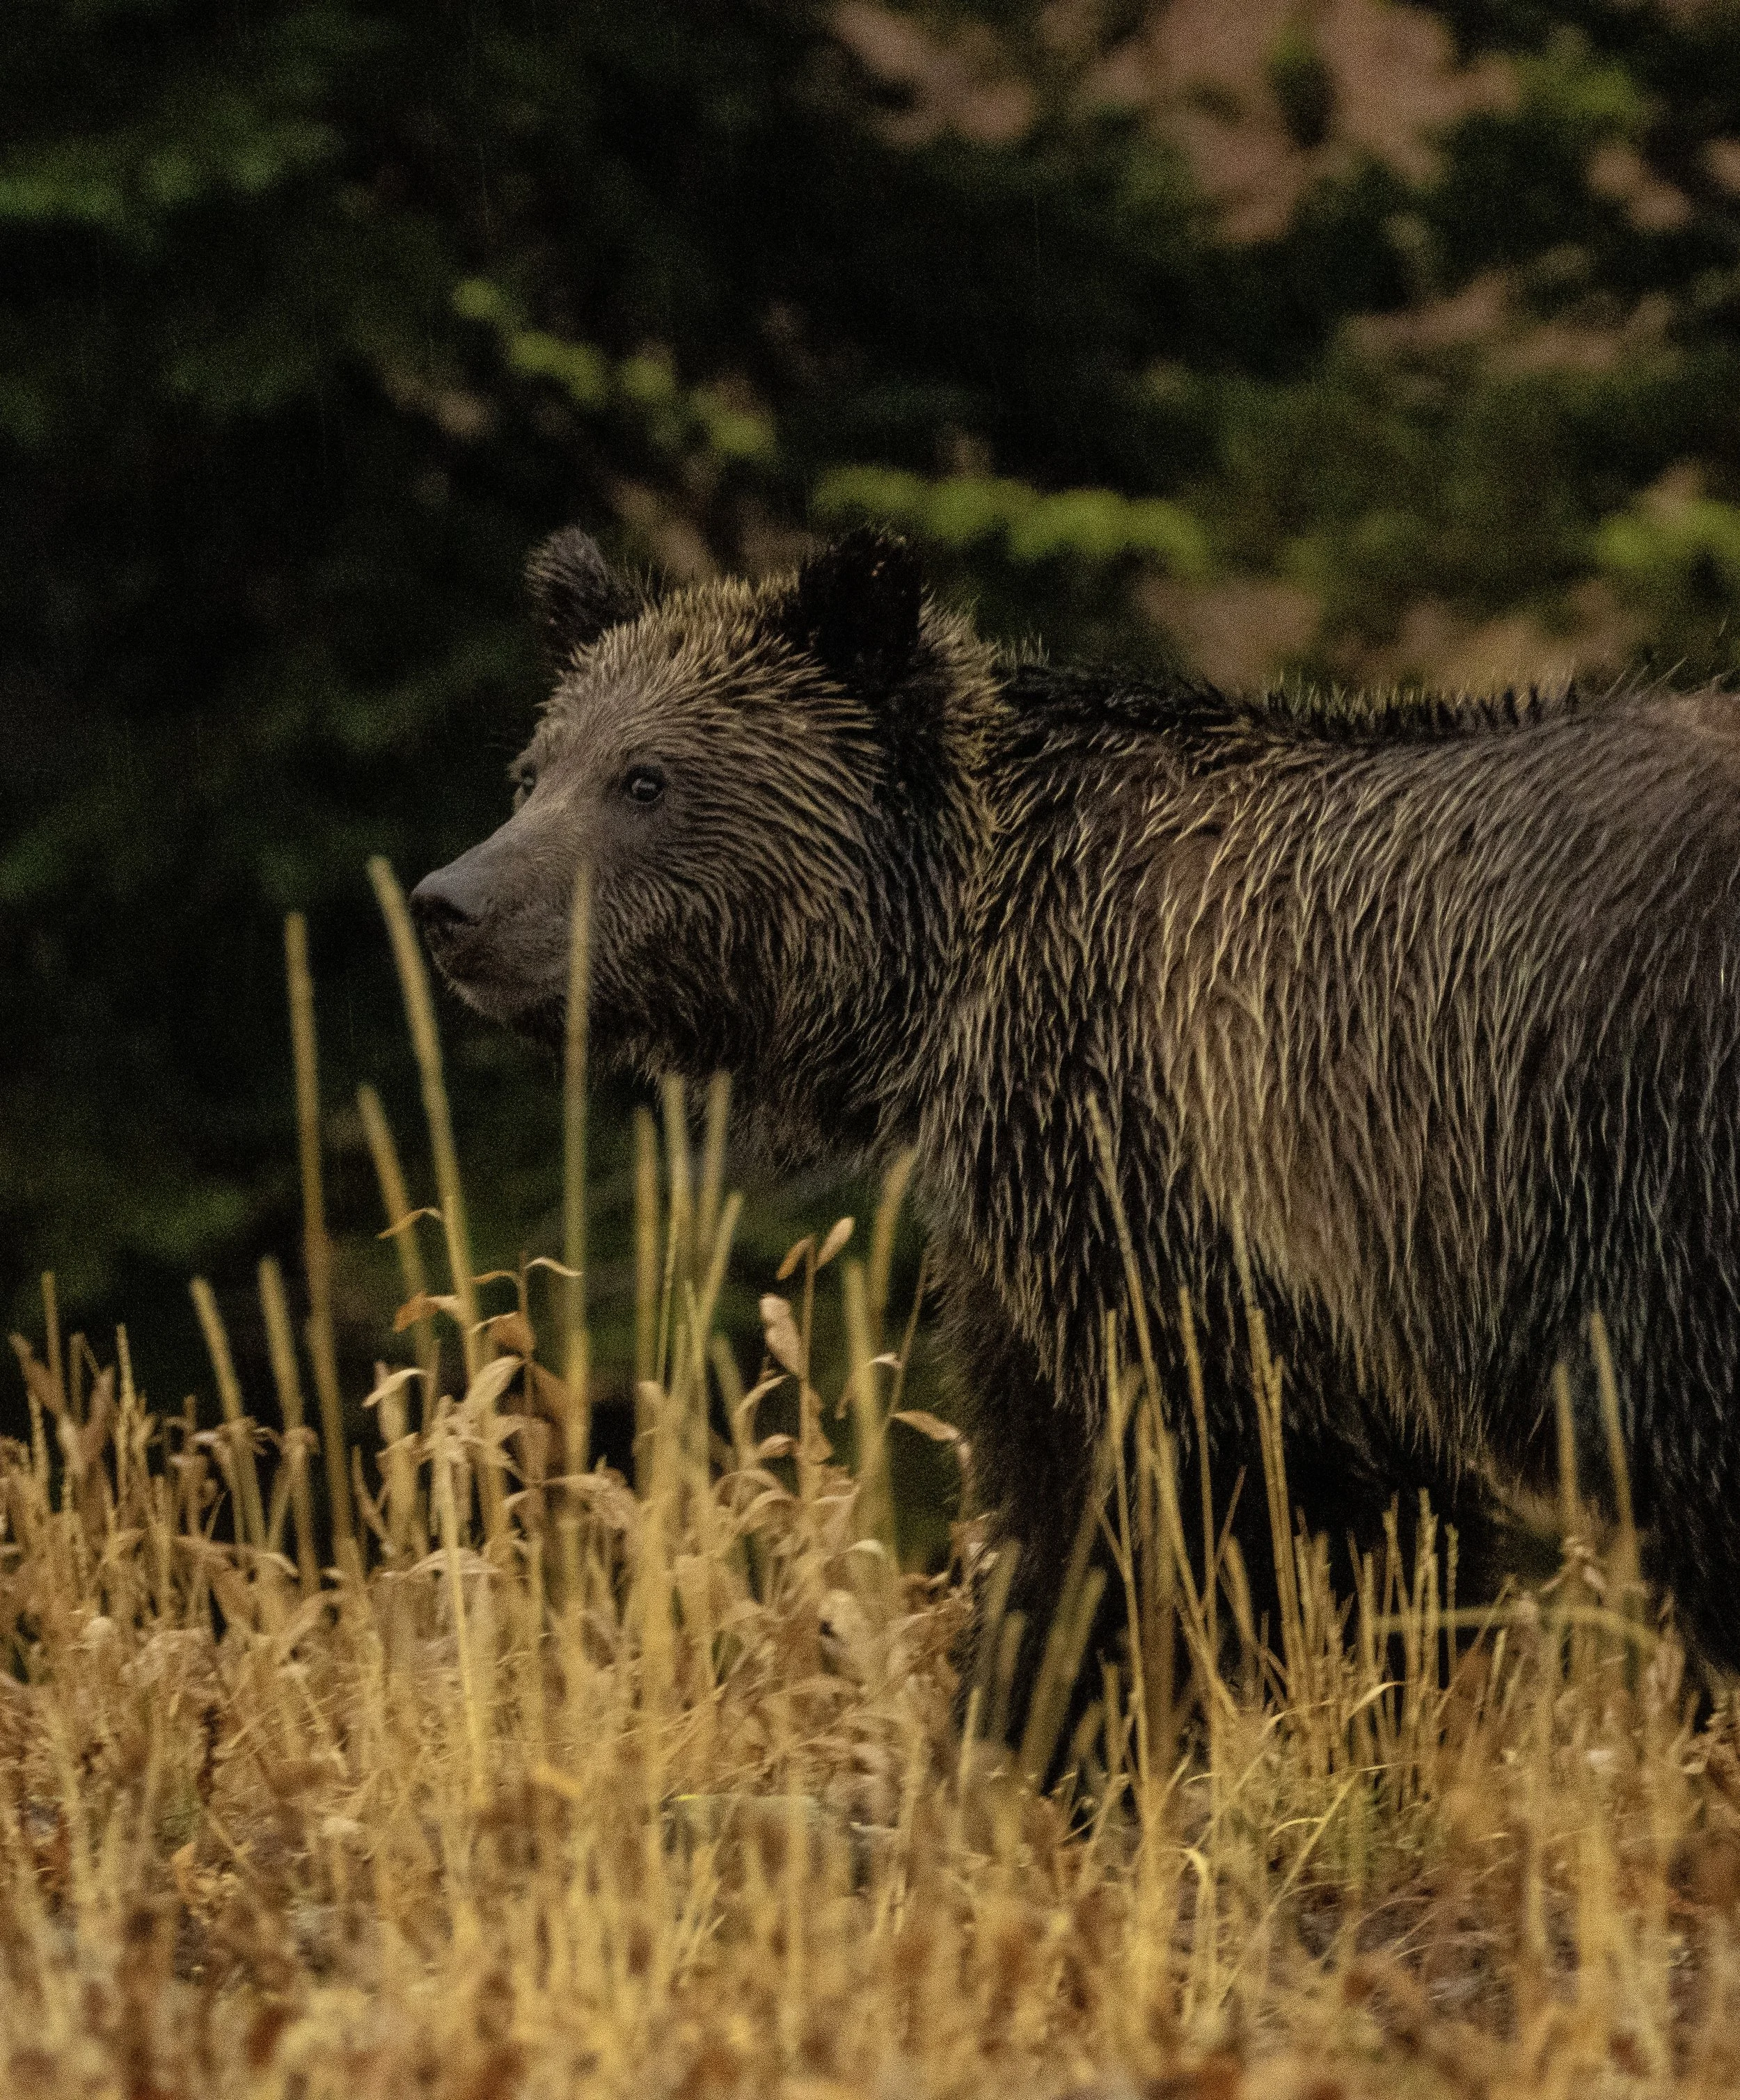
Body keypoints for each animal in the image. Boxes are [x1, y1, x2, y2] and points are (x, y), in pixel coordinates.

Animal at [411, 522, 1740, 1710]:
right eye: (534, 770)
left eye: (646, 778)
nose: (451, 902)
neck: (948, 974)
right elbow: (1091, 1495)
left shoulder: (1158, 1175)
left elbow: (1204, 1507)